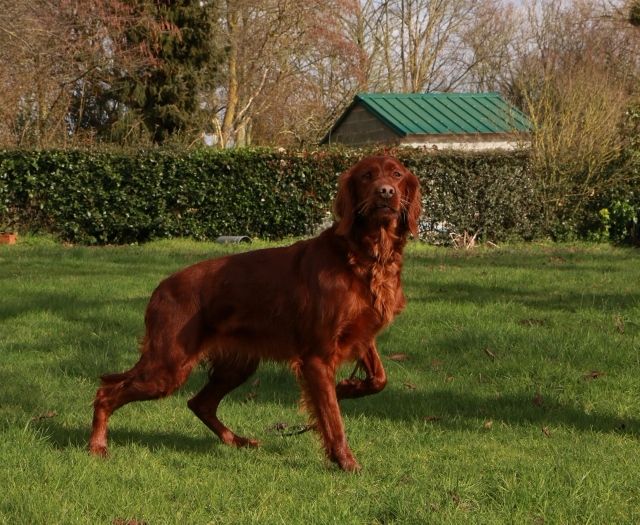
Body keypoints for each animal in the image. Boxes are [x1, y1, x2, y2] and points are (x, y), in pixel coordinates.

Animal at [89, 154, 420, 468]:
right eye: (367, 176)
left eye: (396, 174)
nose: (385, 192)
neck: (364, 255)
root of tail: (161, 288)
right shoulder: (317, 357)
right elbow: (332, 418)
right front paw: (346, 461)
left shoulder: (362, 334)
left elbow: (378, 379)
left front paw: (346, 387)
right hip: (169, 365)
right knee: (106, 394)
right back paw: (97, 446)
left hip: (236, 364)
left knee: (199, 403)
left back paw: (237, 441)